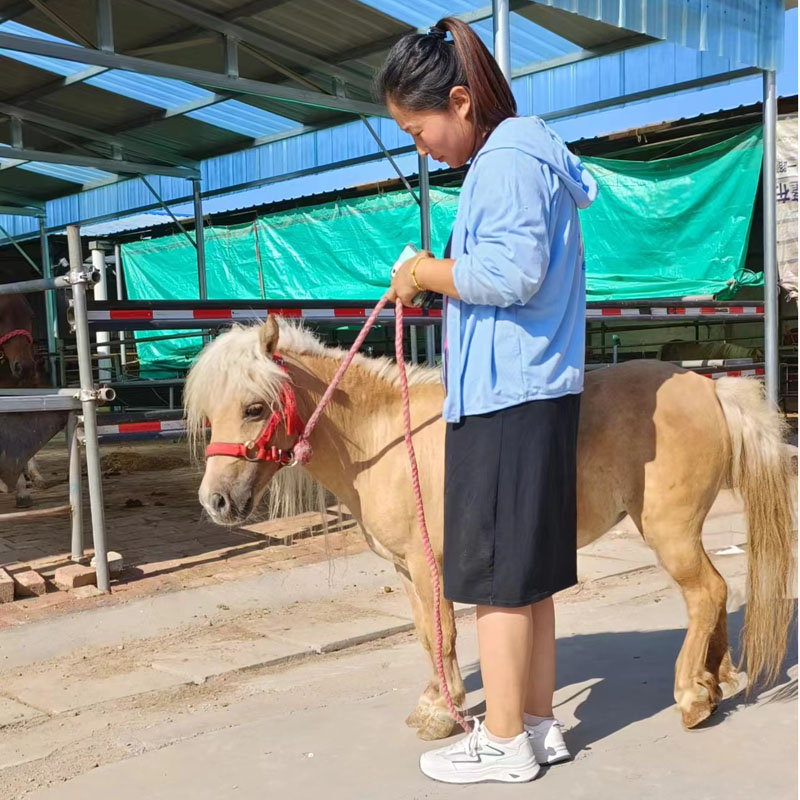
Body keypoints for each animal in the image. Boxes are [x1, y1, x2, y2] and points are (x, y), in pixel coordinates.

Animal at [186, 316, 792, 740]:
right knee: (715, 594)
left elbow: (445, 633)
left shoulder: (430, 565)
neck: (388, 438)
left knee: (705, 593)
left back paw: (691, 696)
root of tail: (710, 389)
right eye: (211, 414)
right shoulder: (406, 571)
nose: (216, 501)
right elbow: (425, 633)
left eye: (255, 407)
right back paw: (715, 683)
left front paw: (441, 714)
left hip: (670, 532)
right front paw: (436, 702)